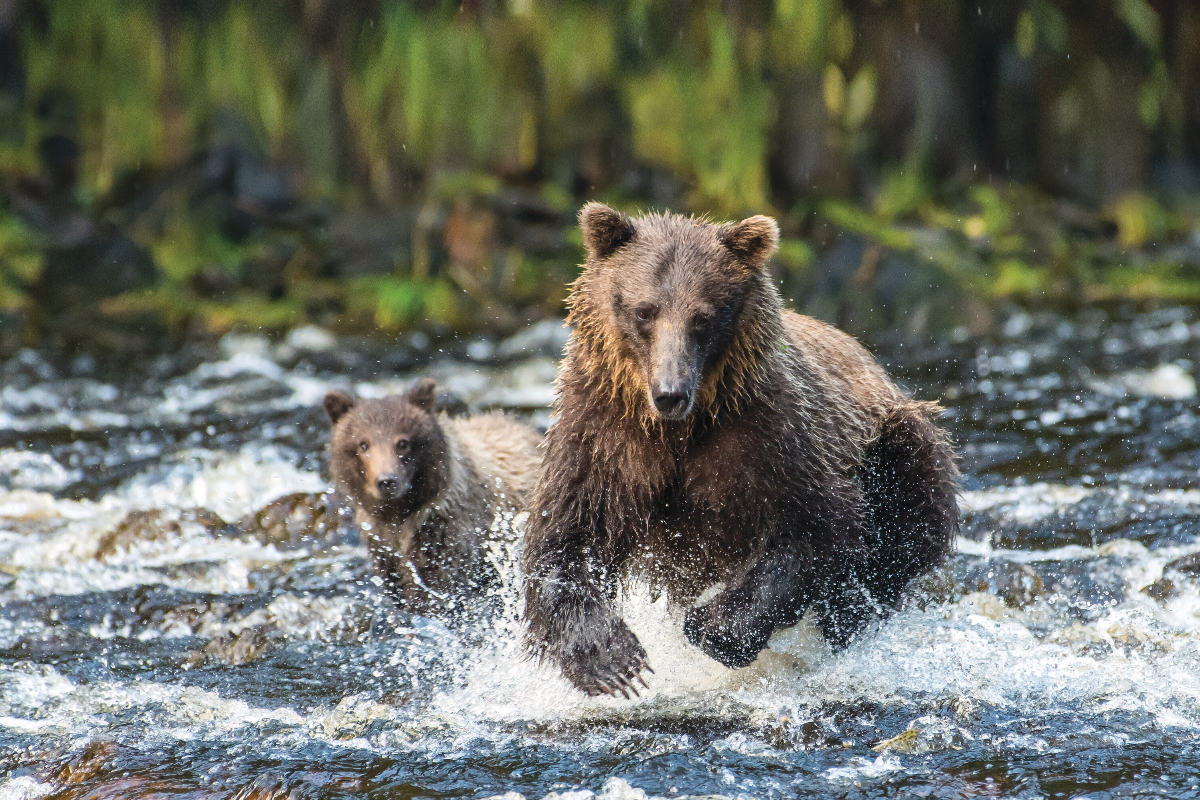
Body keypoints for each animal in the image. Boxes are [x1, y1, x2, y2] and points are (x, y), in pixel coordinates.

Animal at [325, 378, 542, 617]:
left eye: (403, 443)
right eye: (363, 444)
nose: (387, 481)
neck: (399, 516)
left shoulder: (445, 531)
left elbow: (433, 587)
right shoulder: (382, 545)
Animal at [521, 203, 958, 697]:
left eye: (702, 316)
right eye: (645, 310)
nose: (671, 393)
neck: (679, 431)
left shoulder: (771, 433)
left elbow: (814, 529)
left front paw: (712, 628)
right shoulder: (602, 435)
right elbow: (565, 537)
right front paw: (613, 661)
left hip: (894, 440)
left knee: (902, 525)